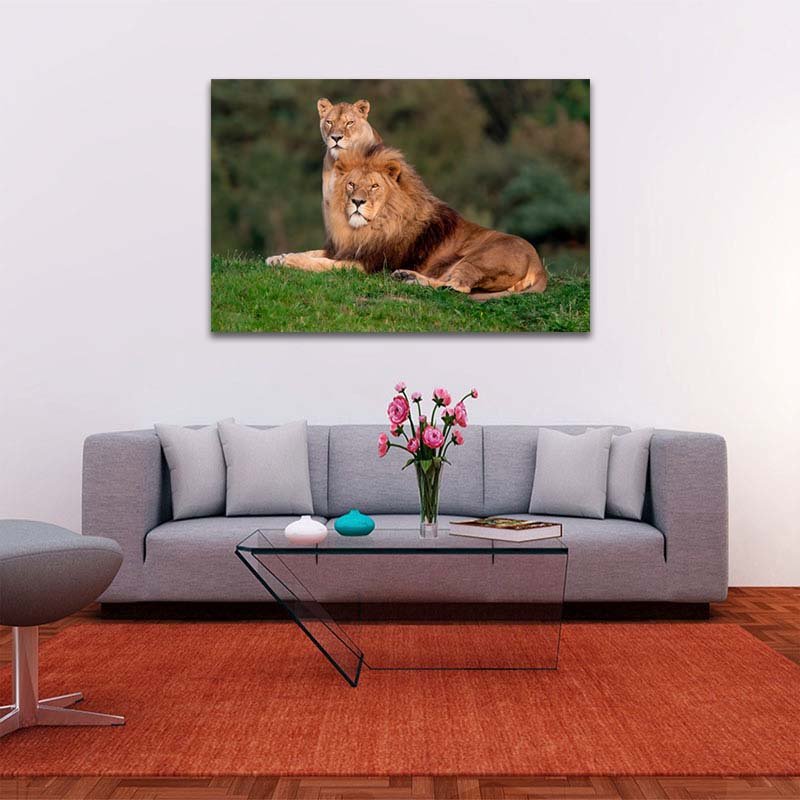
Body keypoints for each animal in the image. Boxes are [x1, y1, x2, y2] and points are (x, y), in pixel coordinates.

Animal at [271, 145, 547, 297]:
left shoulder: (365, 265)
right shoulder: (345, 248)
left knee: (459, 287)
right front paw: (277, 257)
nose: (357, 202)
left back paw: (411, 279)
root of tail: (539, 265)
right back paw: (407, 277)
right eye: (351, 184)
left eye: (374, 187)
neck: (367, 228)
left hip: (478, 259)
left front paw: (289, 261)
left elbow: (321, 264)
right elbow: (314, 253)